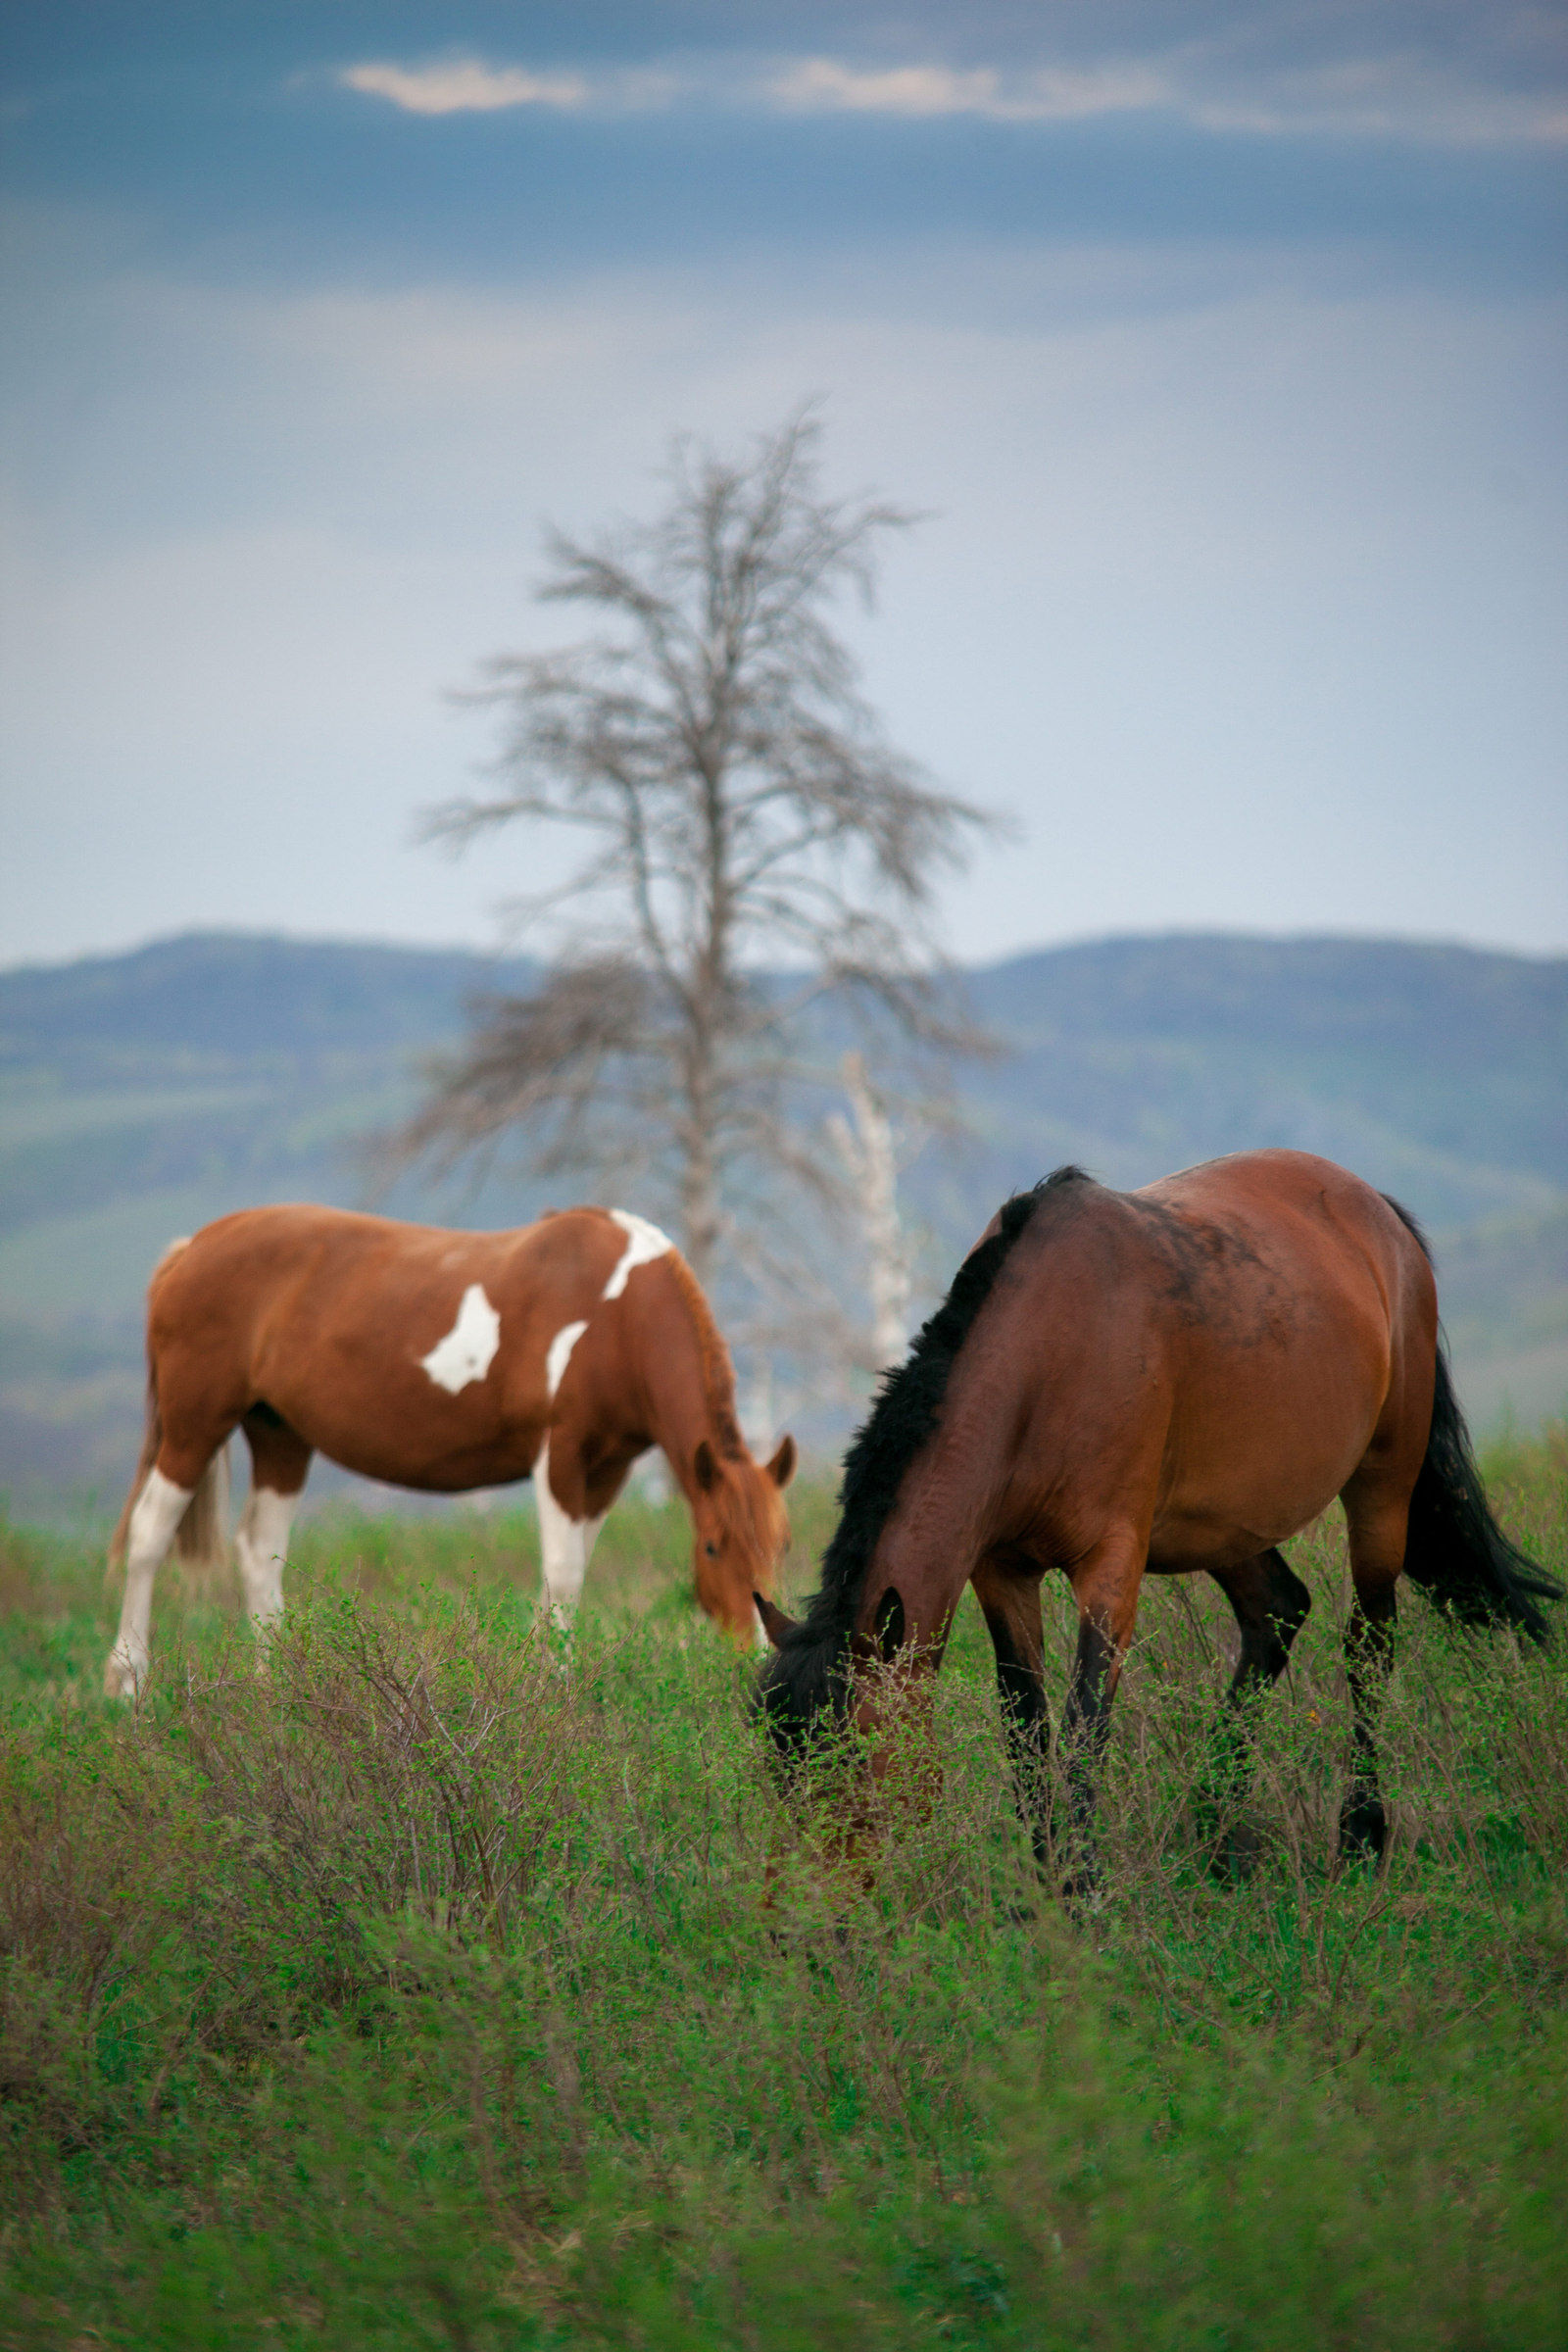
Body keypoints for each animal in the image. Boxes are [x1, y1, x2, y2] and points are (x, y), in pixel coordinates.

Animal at [107, 1213, 799, 1693]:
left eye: (782, 1546)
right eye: (713, 1547)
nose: (762, 1655)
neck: (617, 1317)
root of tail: (190, 1249)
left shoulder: (607, 1471)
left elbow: (569, 1572)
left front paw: (544, 1675)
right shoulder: (560, 1456)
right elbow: (563, 1572)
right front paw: (557, 1685)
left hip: (281, 1436)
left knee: (258, 1550)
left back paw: (274, 1683)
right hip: (194, 1426)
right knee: (149, 1536)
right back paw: (128, 1682)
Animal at [757, 1152, 1560, 1890]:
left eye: (852, 1760)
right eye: (779, 1769)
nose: (813, 1914)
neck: (1044, 1357)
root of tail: (1379, 1215)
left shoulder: (1112, 1565)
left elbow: (1084, 1726)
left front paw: (1082, 1892)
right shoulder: (1001, 1571)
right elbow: (1027, 1729)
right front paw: (1046, 1889)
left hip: (1382, 1488)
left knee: (1368, 1644)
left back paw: (1359, 1836)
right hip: (1228, 1523)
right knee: (1276, 1612)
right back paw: (1215, 1829)